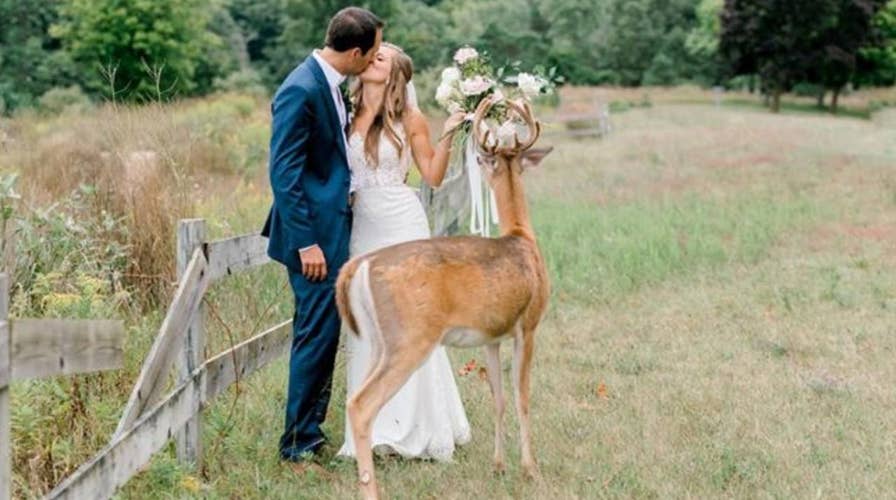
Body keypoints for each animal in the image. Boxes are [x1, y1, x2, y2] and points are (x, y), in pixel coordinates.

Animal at [335, 96, 552, 500]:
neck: (522, 237)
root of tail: (361, 264)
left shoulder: (491, 336)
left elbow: (499, 398)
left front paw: (499, 466)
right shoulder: (528, 325)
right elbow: (523, 397)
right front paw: (530, 470)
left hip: (378, 341)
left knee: (353, 397)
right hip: (410, 338)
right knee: (361, 405)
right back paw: (371, 490)